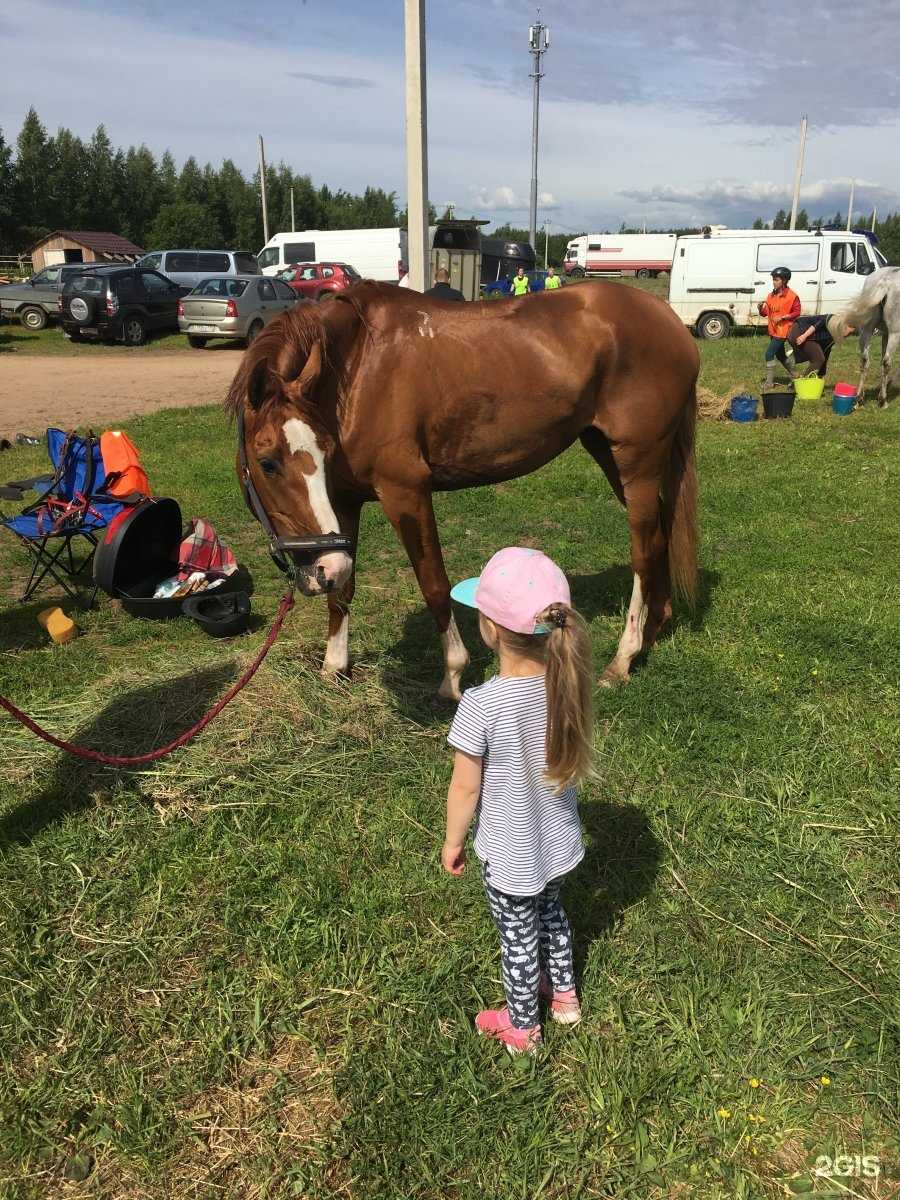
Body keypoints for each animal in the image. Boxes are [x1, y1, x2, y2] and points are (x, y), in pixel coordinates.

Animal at [224, 280, 696, 696]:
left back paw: (623, 657)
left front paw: (452, 676)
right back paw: (655, 627)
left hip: (637, 463)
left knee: (643, 551)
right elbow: (343, 591)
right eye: (268, 463)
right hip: (609, 454)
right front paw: (333, 667)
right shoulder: (343, 503)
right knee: (660, 535)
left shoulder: (406, 492)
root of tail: (671, 322)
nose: (323, 570)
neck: (358, 369)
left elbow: (434, 583)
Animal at [844, 266, 900, 408]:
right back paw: (883, 401)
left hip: (866, 331)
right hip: (895, 333)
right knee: (887, 362)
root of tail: (885, 281)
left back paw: (859, 399)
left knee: (865, 360)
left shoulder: (885, 335)